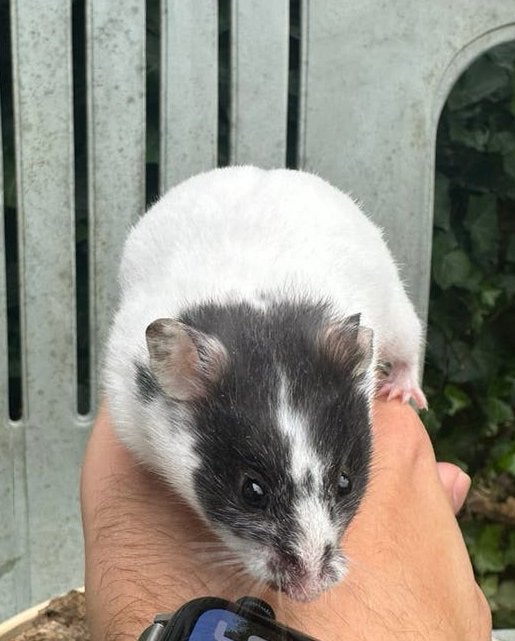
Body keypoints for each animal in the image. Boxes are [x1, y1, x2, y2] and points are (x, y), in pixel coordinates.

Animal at [105, 166, 426, 602]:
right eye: (251, 491)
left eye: (345, 482)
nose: (309, 591)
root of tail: (262, 171)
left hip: (397, 310)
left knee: (411, 348)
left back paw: (400, 392)